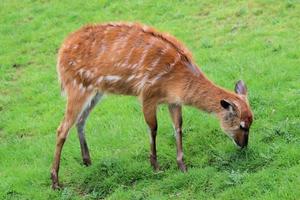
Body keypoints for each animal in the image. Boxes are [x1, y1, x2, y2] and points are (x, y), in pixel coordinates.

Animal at [51, 21, 253, 189]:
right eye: (241, 125)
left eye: (252, 122)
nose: (243, 145)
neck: (177, 79)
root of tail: (61, 52)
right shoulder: (147, 94)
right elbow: (153, 128)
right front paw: (156, 167)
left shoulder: (173, 101)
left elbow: (178, 127)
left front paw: (183, 166)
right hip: (76, 87)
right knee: (62, 128)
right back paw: (55, 182)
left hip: (96, 91)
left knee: (80, 121)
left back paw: (87, 162)